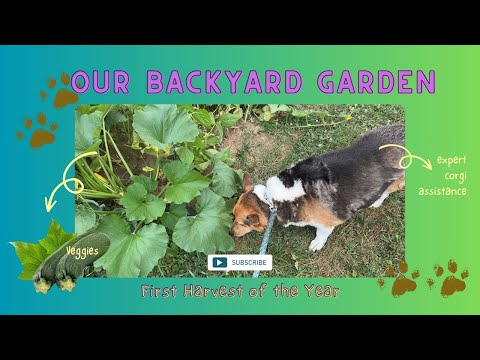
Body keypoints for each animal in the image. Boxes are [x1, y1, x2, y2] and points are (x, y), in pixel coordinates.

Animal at [231, 124, 404, 253]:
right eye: (233, 216)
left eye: (243, 224)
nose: (230, 233)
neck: (272, 199)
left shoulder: (326, 224)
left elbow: (321, 235)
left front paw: (316, 245)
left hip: (397, 181)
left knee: (387, 190)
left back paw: (377, 201)